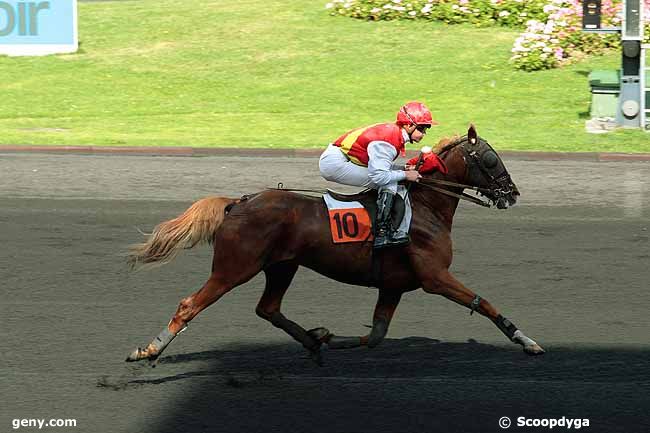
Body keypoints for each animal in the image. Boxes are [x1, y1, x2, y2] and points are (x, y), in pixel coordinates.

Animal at [125, 125, 540, 364]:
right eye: (490, 158)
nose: (512, 194)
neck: (425, 206)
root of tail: (238, 202)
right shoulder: (434, 277)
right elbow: (483, 303)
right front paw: (526, 340)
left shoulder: (393, 285)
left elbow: (376, 335)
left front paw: (327, 336)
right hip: (235, 268)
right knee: (190, 305)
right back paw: (148, 350)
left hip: (282, 266)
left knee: (268, 308)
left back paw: (310, 342)